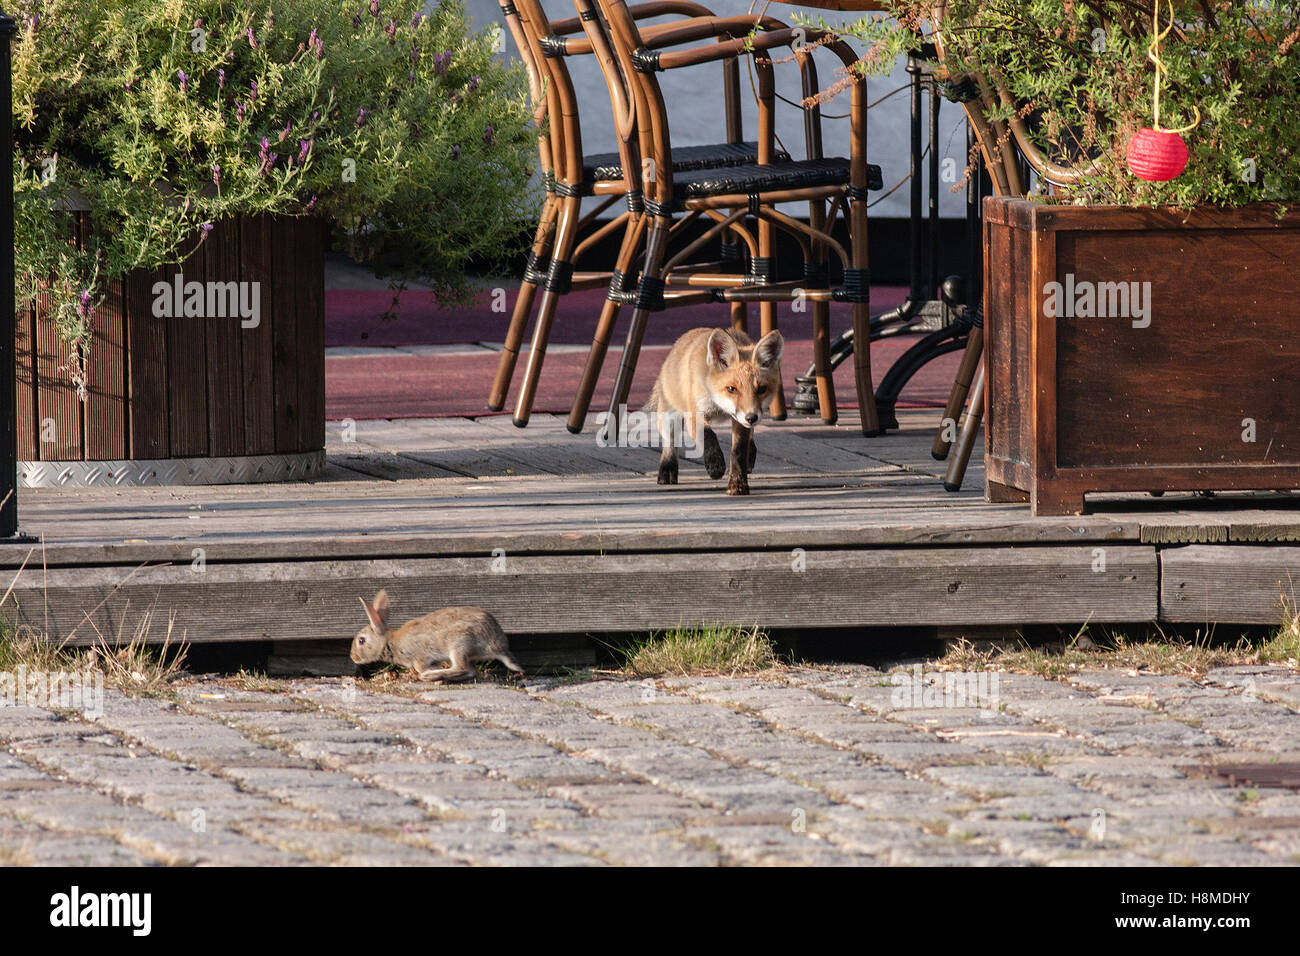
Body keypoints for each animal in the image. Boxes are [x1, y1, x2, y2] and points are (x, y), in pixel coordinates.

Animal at [350, 589, 523, 683]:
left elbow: (421, 666)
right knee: (470, 670)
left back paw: (431, 675)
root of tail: (498, 646)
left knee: (463, 668)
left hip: (459, 644)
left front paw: (429, 671)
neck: (389, 641)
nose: (353, 657)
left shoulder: (419, 657)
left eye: (361, 640)